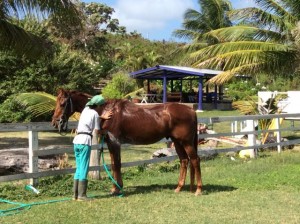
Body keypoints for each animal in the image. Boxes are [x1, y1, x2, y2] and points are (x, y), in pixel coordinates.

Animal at [51, 88, 203, 195]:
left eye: (63, 103)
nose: (55, 122)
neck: (106, 111)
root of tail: (190, 110)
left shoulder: (115, 142)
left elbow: (117, 165)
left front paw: (117, 188)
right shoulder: (110, 143)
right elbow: (114, 164)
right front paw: (115, 188)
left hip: (186, 142)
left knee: (195, 160)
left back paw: (198, 190)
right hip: (177, 142)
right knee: (184, 161)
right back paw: (179, 188)